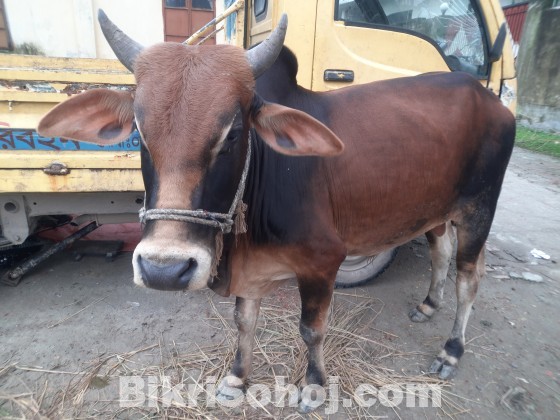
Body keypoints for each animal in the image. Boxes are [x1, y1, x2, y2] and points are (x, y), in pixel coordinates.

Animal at [39, 10, 516, 414]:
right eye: (139, 132)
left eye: (233, 133)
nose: (163, 270)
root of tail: (491, 99)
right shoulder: (252, 271)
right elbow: (244, 321)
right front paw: (236, 380)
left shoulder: (323, 262)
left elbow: (311, 329)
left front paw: (314, 388)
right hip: (434, 211)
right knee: (440, 252)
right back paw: (428, 305)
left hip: (479, 209)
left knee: (468, 278)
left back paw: (450, 352)